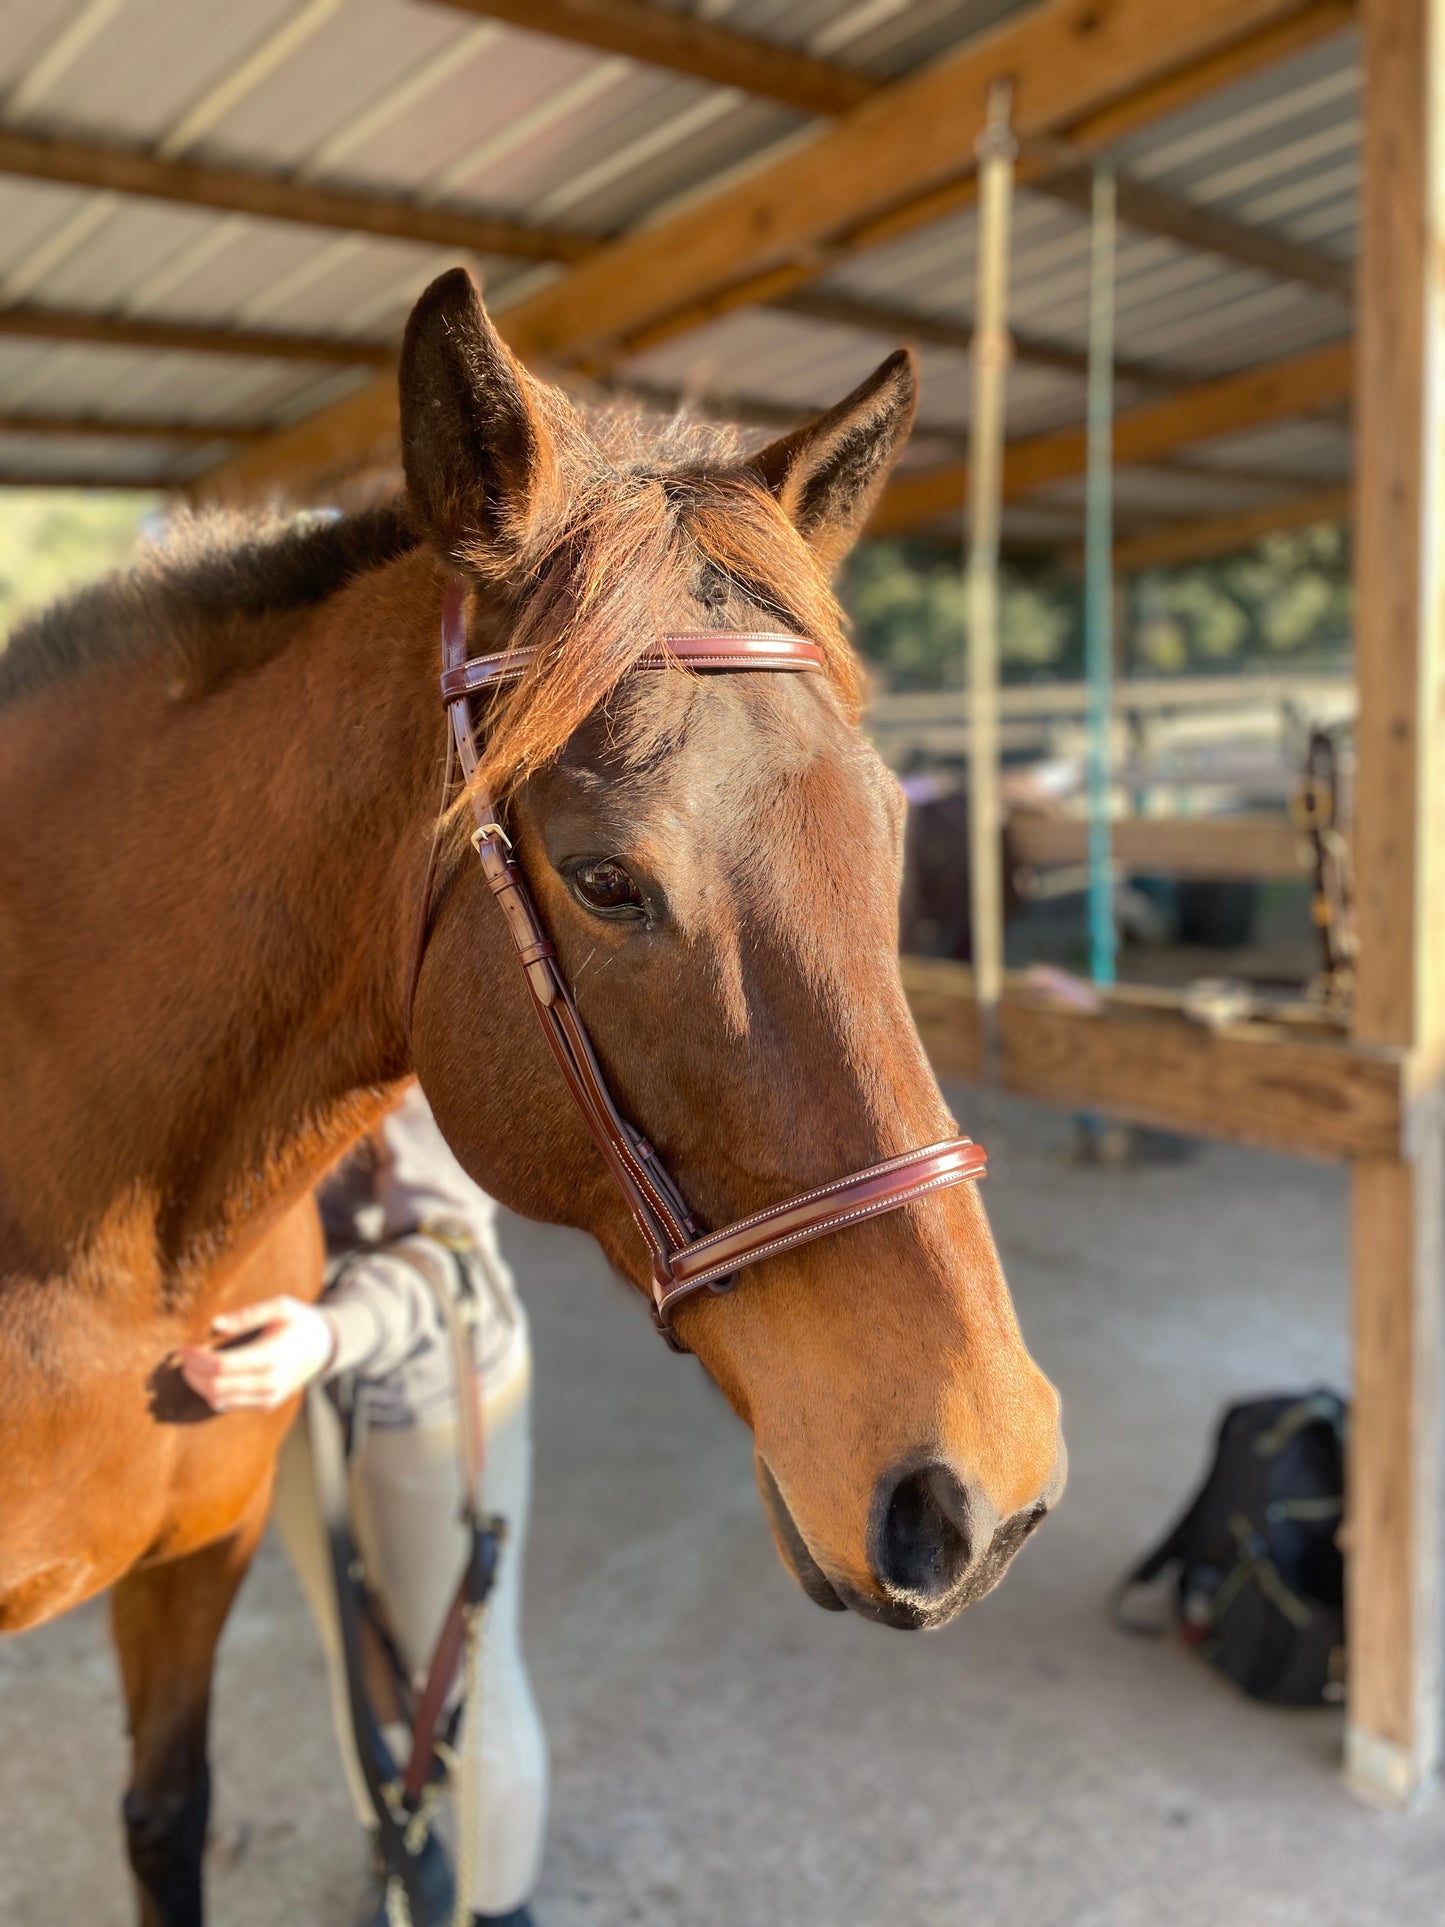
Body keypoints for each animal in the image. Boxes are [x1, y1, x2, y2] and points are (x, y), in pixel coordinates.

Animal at [0, 271, 1063, 1927]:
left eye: (892, 834)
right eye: (606, 879)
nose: (983, 1482)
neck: (98, 1246)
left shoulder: (194, 1573)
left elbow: (166, 1819)